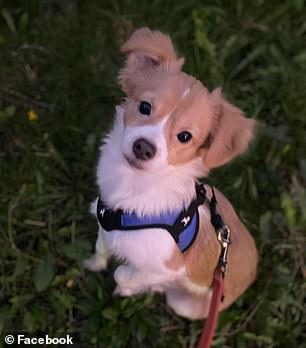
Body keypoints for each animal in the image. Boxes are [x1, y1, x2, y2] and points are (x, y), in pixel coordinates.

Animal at [84, 28, 258, 320]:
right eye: (144, 107)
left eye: (185, 136)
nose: (144, 147)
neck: (134, 186)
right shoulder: (104, 226)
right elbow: (101, 248)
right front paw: (92, 265)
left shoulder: (171, 266)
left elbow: (125, 273)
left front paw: (126, 287)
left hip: (184, 305)